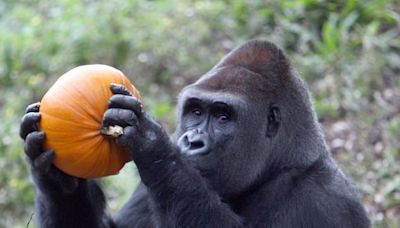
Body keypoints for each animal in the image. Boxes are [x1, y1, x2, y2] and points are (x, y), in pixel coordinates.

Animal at [19, 40, 368, 227]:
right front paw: (57, 181)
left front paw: (151, 145)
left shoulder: (322, 200)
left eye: (224, 117)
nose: (191, 141)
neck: (285, 162)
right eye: (196, 112)